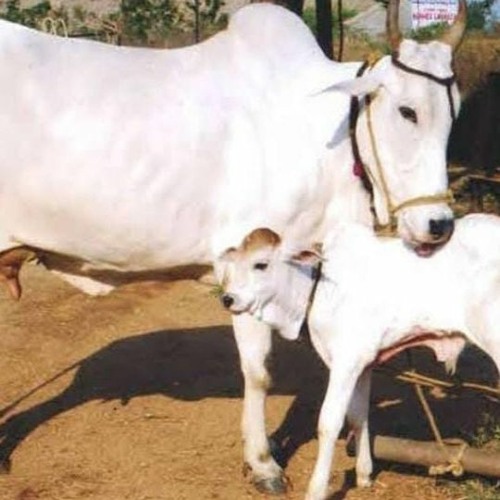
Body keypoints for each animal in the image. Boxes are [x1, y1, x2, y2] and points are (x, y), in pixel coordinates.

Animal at [0, 0, 464, 492]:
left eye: (454, 111)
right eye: (407, 111)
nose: (437, 224)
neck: (325, 138)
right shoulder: (249, 261)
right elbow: (258, 372)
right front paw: (262, 463)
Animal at [218, 214, 500, 500]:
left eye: (261, 264)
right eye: (234, 263)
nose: (228, 299)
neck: (320, 285)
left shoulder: (346, 362)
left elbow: (329, 423)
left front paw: (316, 489)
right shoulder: (363, 365)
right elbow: (358, 415)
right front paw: (364, 475)